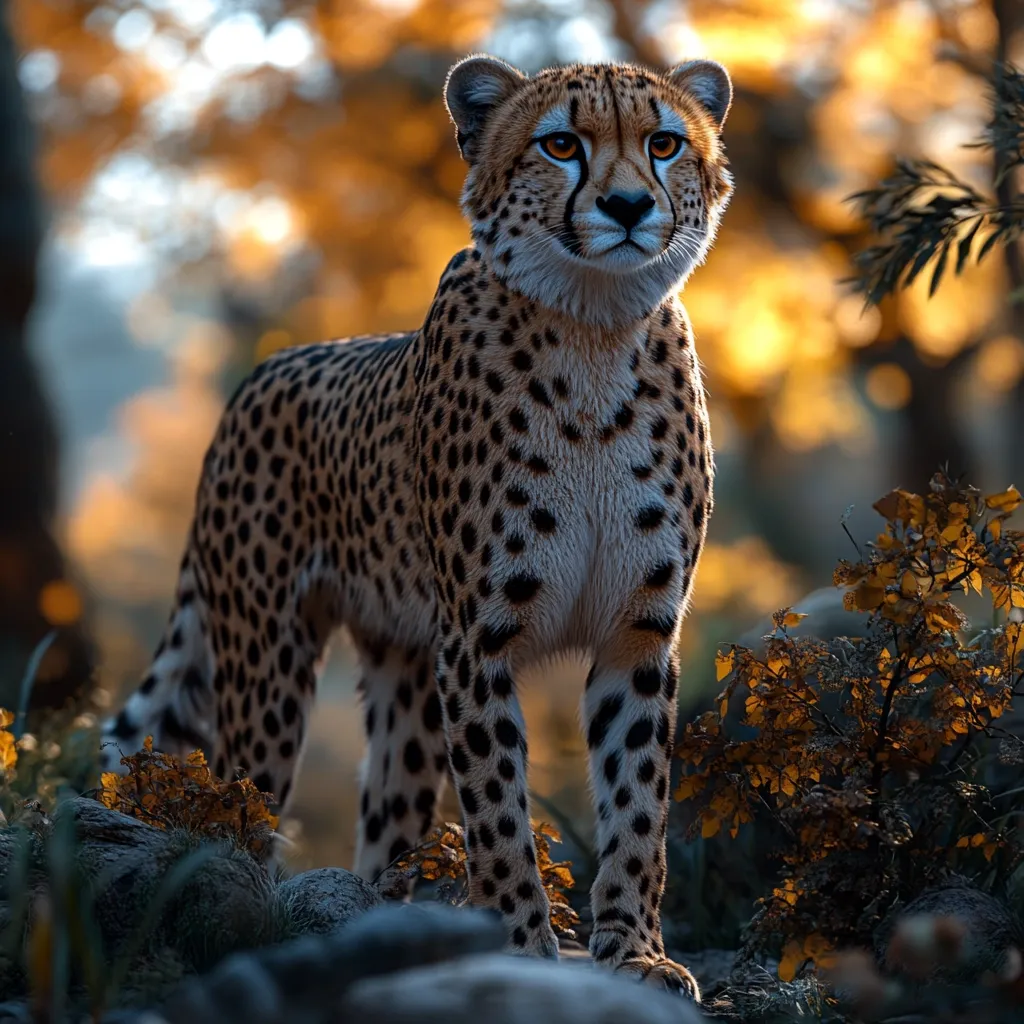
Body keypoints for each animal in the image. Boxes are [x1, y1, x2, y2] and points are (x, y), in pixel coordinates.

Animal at [100, 53, 733, 1001]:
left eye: (663, 143)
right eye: (561, 145)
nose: (627, 206)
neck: (593, 329)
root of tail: (261, 375)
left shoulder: (639, 631)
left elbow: (637, 805)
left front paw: (634, 951)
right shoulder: (477, 639)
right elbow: (499, 811)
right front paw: (524, 949)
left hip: (403, 670)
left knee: (386, 822)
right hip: (269, 665)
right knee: (240, 801)